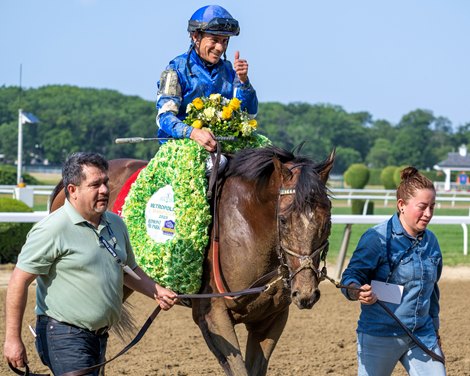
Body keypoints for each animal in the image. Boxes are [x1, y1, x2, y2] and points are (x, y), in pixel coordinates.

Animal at [49, 145, 334, 376]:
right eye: (284, 219)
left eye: (327, 220)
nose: (306, 293)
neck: (248, 230)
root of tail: (64, 184)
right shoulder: (212, 316)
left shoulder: (271, 319)